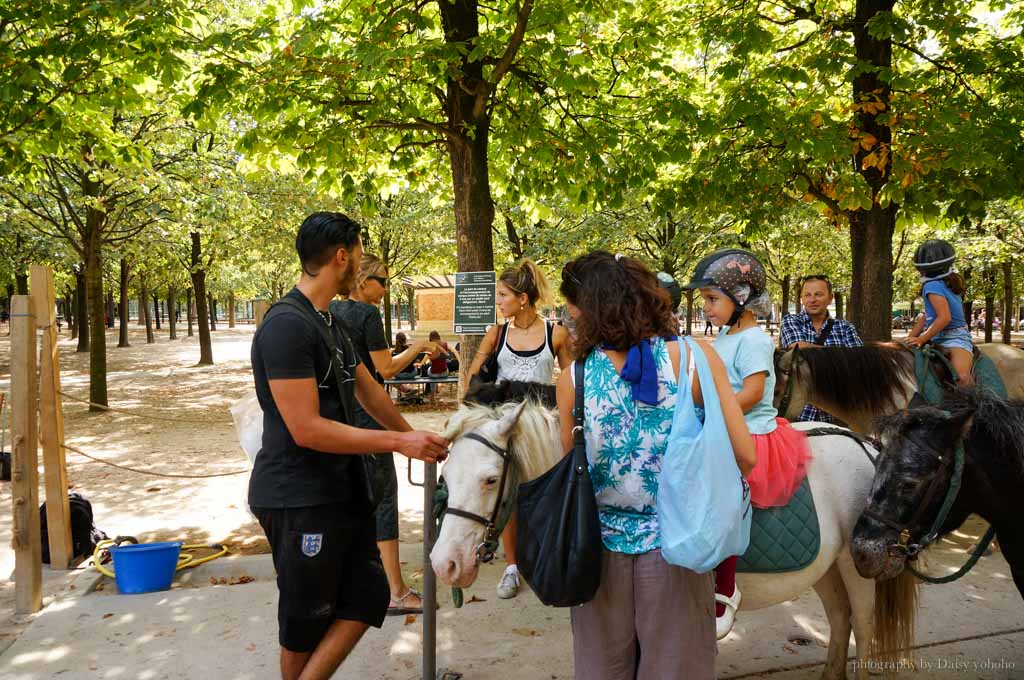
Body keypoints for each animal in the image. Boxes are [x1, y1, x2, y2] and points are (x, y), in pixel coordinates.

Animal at [428, 401, 917, 675]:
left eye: (491, 479)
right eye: (446, 475)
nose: (444, 563)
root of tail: (865, 444)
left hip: (856, 566)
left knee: (864, 630)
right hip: (825, 567)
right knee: (839, 620)